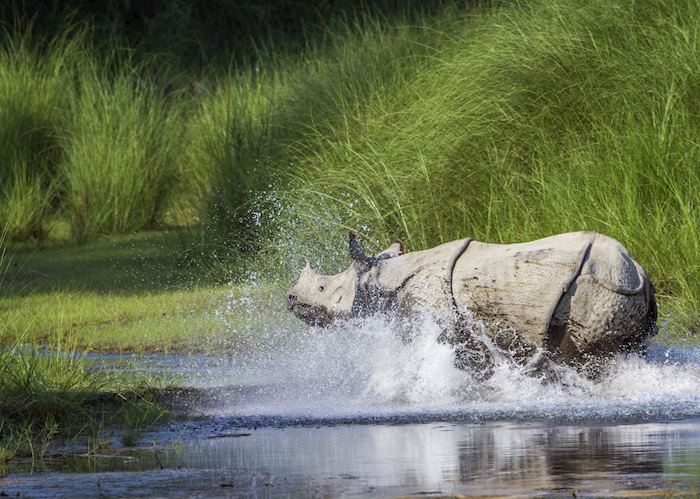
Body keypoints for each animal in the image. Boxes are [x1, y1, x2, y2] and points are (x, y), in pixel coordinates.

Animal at [287, 231, 658, 373]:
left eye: (323, 288)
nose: (291, 299)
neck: (381, 280)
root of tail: (637, 270)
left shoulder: (438, 326)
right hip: (619, 292)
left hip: (598, 290)